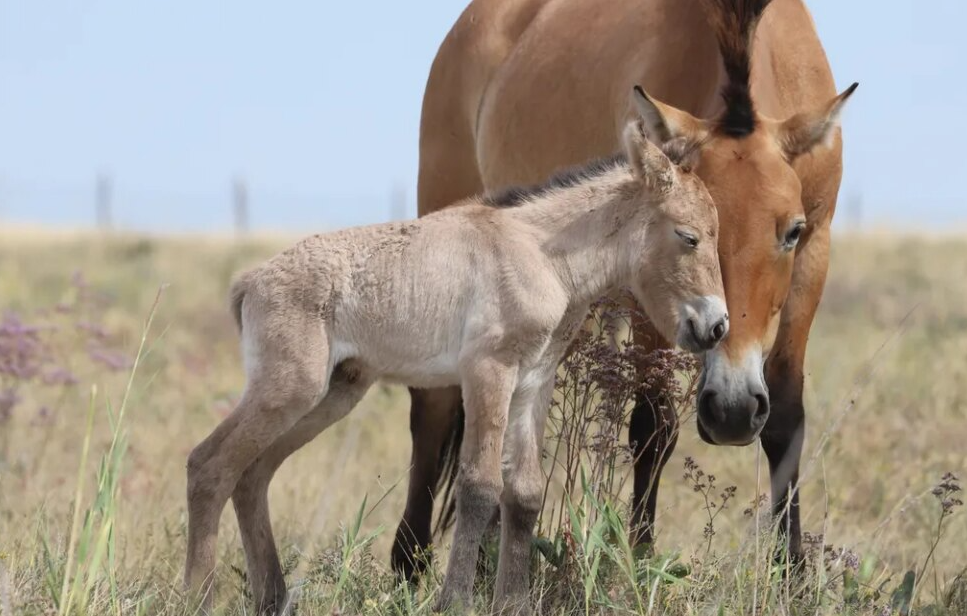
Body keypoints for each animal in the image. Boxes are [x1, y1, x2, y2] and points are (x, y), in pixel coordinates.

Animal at [183, 108, 728, 614]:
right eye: (689, 237)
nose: (716, 326)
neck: (541, 254)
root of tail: (250, 281)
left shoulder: (533, 381)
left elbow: (525, 493)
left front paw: (513, 603)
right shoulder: (488, 371)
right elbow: (481, 486)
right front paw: (455, 601)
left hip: (333, 394)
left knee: (252, 474)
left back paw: (272, 598)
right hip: (289, 389)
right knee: (209, 464)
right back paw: (197, 596)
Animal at [392, 0, 857, 581]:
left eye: (790, 231)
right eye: (682, 233)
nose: (730, 412)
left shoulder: (815, 256)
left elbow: (786, 420)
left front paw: (791, 573)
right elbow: (653, 426)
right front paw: (638, 561)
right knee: (432, 409)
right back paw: (411, 562)